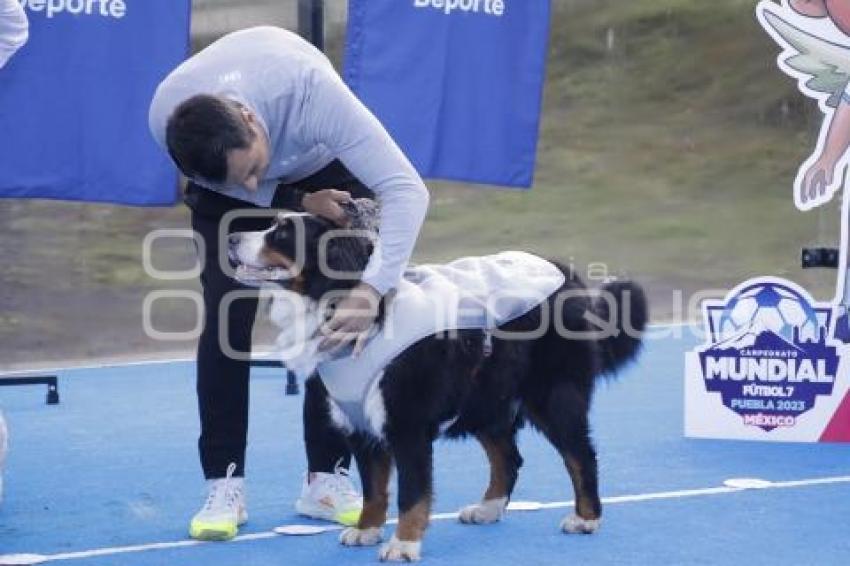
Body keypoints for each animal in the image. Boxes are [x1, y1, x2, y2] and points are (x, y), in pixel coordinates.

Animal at [229, 201, 644, 564]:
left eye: (283, 232)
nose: (232, 237)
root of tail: (564, 271)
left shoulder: (407, 425)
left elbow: (411, 494)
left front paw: (403, 545)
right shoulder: (361, 425)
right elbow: (374, 490)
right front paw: (366, 530)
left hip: (551, 397)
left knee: (580, 455)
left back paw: (586, 518)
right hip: (485, 398)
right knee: (508, 457)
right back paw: (488, 508)